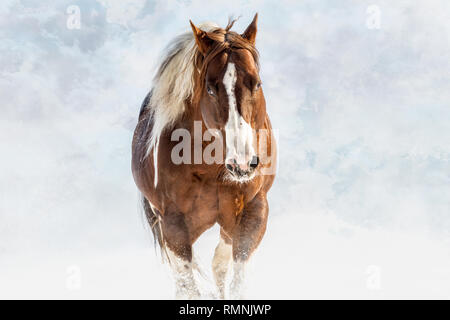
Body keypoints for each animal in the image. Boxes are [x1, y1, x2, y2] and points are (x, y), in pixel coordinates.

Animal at [132, 14, 276, 300]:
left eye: (257, 83)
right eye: (210, 89)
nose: (243, 163)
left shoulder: (254, 210)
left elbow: (235, 280)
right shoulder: (173, 226)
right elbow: (188, 288)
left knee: (219, 264)